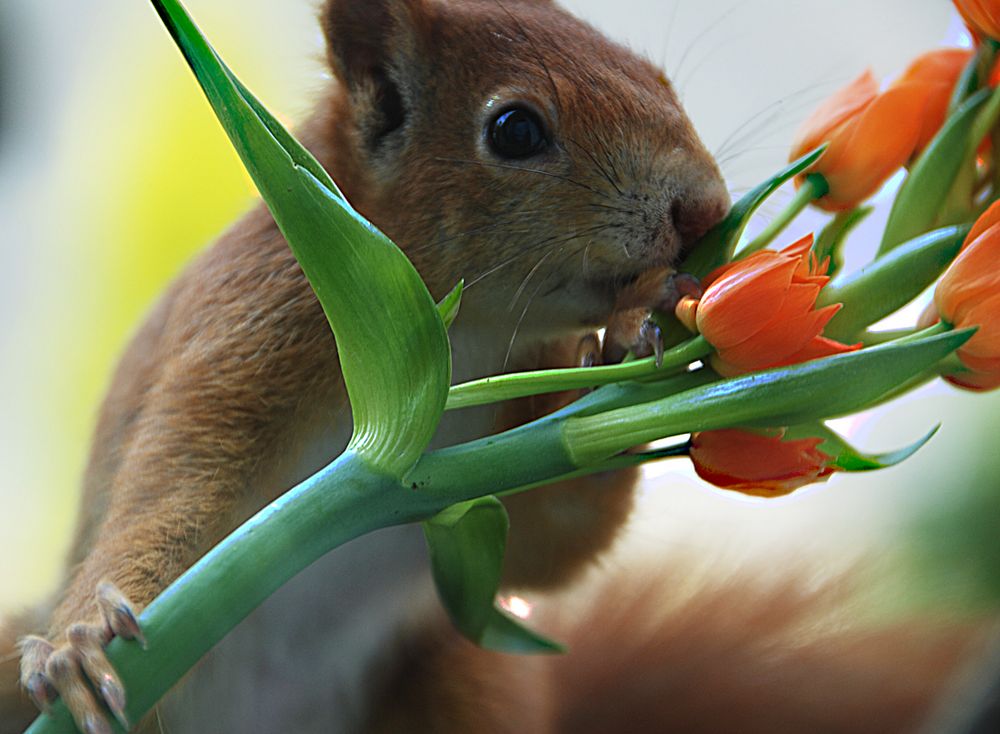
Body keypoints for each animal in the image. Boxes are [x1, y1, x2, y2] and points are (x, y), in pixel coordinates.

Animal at [0, 1, 984, 734]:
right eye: (514, 131)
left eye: (660, 80)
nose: (704, 211)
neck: (468, 332)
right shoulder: (238, 341)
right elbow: (169, 486)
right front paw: (85, 640)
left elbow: (551, 542)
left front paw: (624, 351)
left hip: (456, 680)